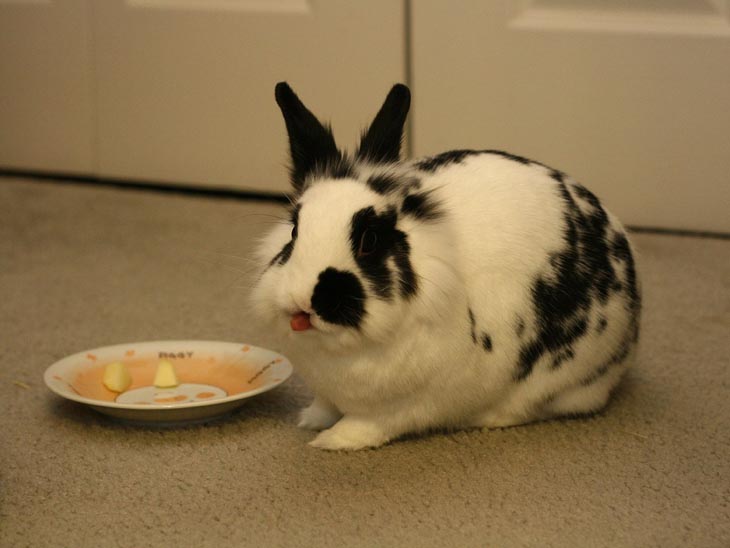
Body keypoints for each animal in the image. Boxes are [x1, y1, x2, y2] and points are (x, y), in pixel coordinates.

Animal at [249, 81, 636, 450]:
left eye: (369, 240)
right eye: (295, 231)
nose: (303, 300)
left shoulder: (407, 406)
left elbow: (370, 424)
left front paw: (332, 441)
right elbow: (325, 406)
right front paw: (311, 420)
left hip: (568, 382)